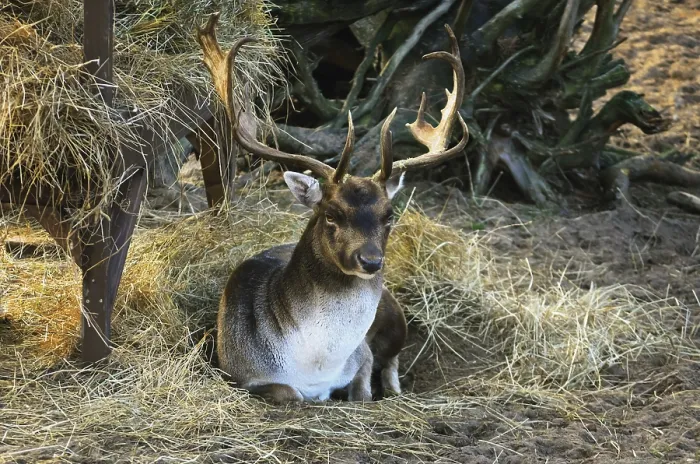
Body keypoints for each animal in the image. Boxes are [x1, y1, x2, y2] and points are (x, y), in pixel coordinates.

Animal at [196, 14, 468, 403]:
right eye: (330, 213)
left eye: (390, 214)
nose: (370, 260)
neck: (315, 366)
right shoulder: (240, 370)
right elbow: (289, 393)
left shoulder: (361, 355)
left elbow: (364, 388)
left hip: (395, 317)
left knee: (394, 358)